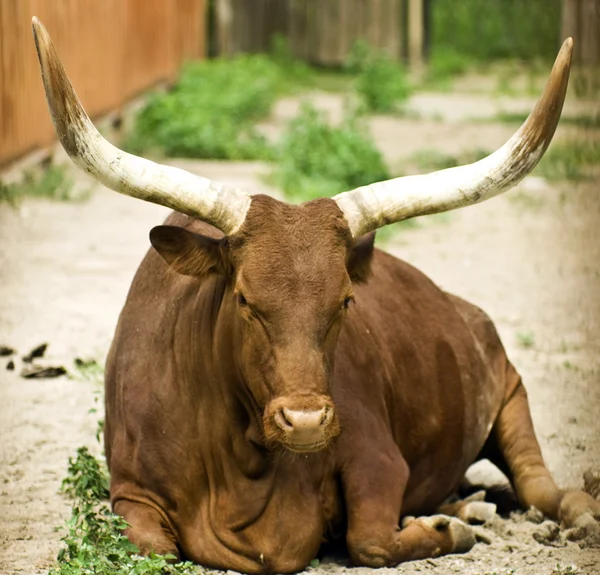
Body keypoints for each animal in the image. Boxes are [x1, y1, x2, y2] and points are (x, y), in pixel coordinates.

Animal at [34, 16, 600, 572]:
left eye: (346, 301)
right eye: (243, 300)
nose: (306, 420)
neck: (243, 463)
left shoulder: (376, 456)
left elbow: (371, 541)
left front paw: (447, 531)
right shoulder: (132, 491)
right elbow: (152, 546)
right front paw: (450, 521)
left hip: (510, 390)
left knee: (538, 484)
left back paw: (566, 512)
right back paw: (467, 505)